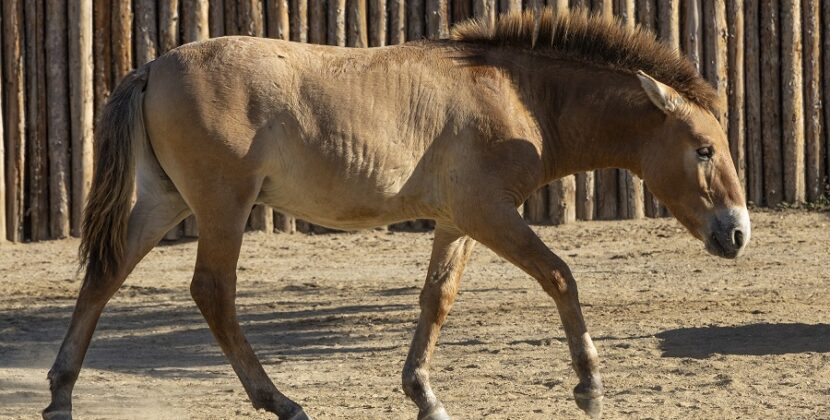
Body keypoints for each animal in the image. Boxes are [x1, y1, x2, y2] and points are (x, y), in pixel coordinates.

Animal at [44, 8, 750, 420]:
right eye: (704, 149)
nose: (738, 233)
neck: (517, 94)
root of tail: (152, 68)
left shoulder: (458, 222)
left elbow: (436, 300)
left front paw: (424, 395)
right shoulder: (489, 213)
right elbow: (560, 277)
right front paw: (589, 385)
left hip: (166, 203)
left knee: (103, 277)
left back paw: (60, 394)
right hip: (222, 207)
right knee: (212, 292)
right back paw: (281, 401)